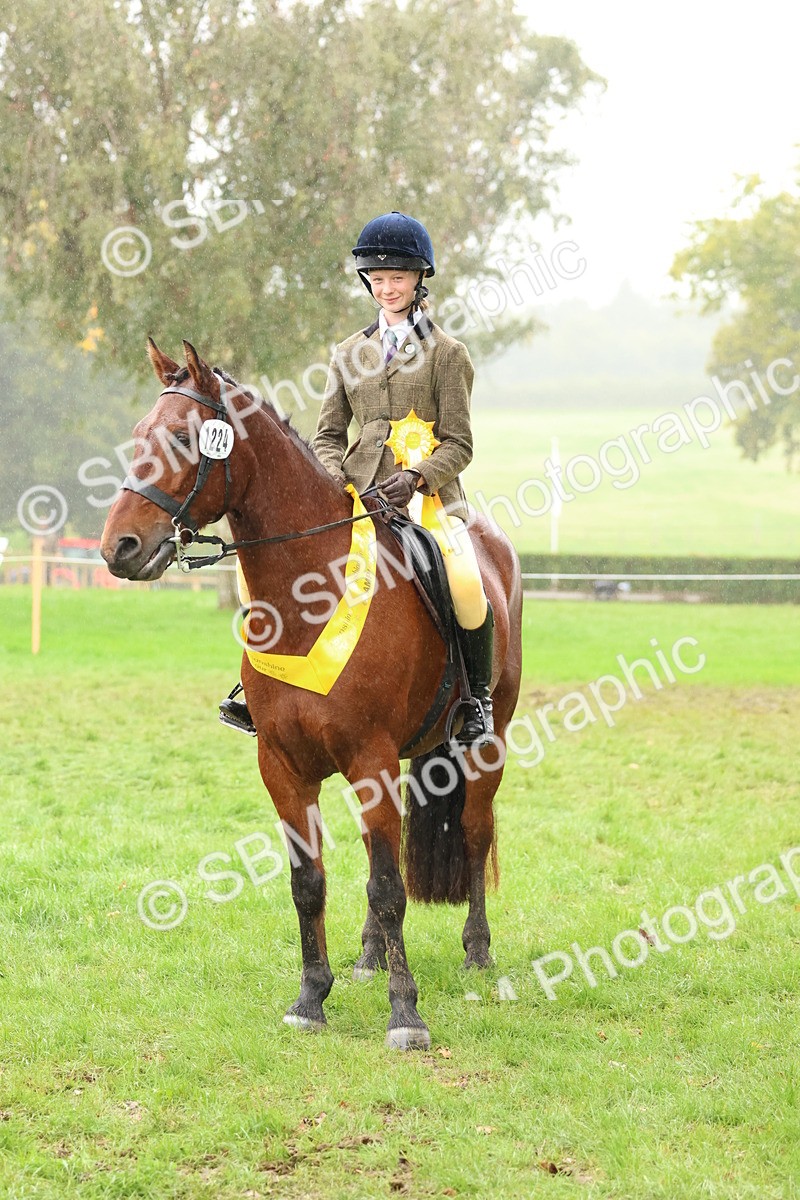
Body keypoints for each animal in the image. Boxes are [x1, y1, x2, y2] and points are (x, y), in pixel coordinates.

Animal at [101, 339, 523, 1050]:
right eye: (136, 436)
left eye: (185, 438)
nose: (119, 548)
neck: (306, 591)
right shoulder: (283, 765)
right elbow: (310, 882)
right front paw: (311, 997)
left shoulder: (370, 759)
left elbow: (388, 887)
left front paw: (405, 1015)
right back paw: (369, 957)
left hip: (483, 746)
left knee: (472, 830)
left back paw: (476, 950)